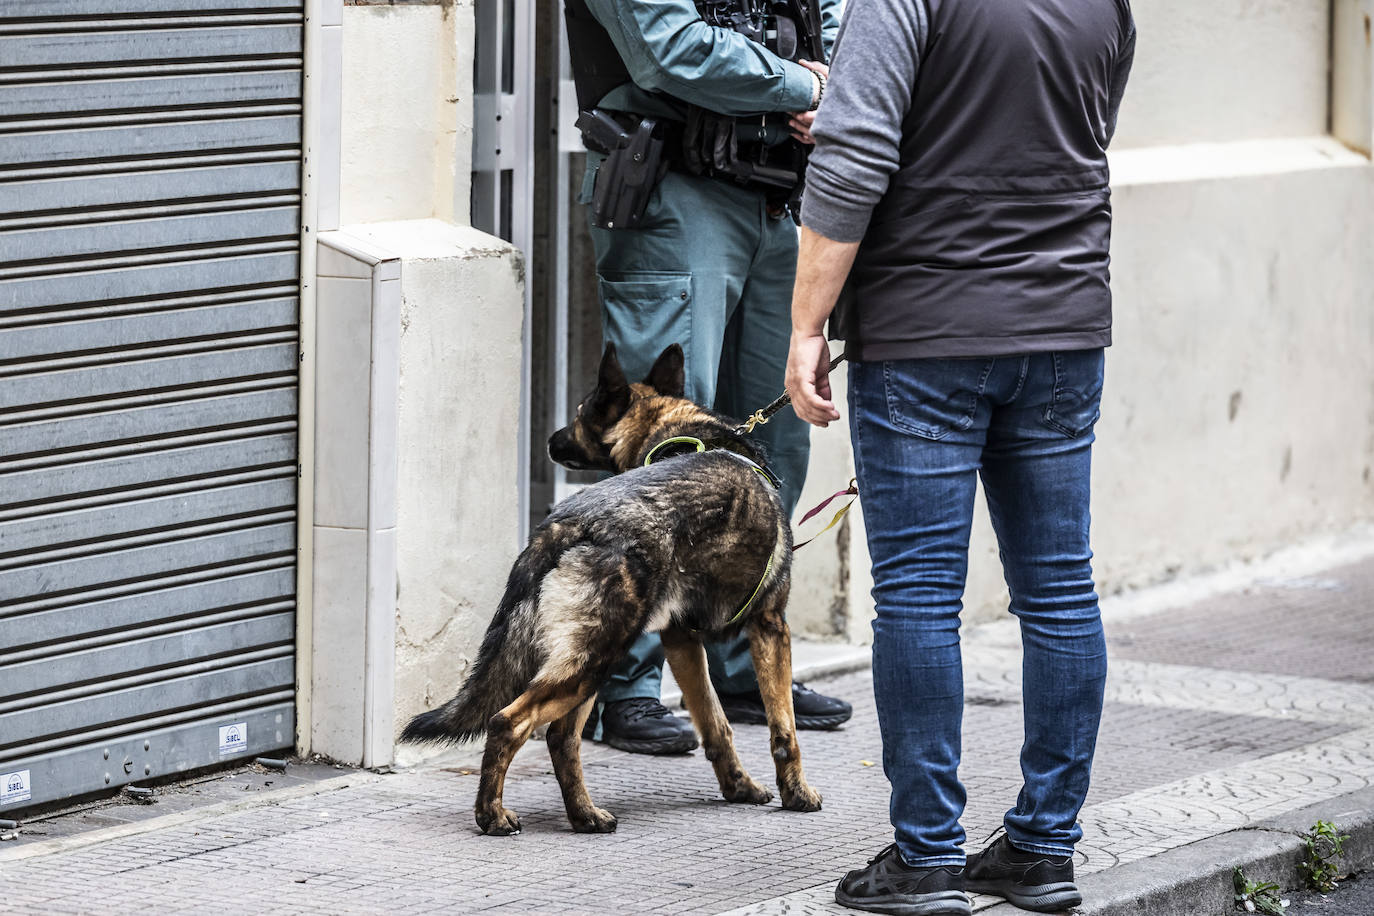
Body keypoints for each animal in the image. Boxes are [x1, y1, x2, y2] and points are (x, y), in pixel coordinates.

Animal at [401, 340, 818, 834]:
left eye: (582, 412)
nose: (550, 440)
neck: (678, 433)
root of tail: (565, 523)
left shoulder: (681, 640)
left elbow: (716, 723)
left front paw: (739, 787)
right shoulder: (771, 627)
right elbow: (783, 728)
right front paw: (797, 794)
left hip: (587, 663)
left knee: (561, 737)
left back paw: (584, 815)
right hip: (598, 657)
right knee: (509, 722)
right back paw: (493, 815)